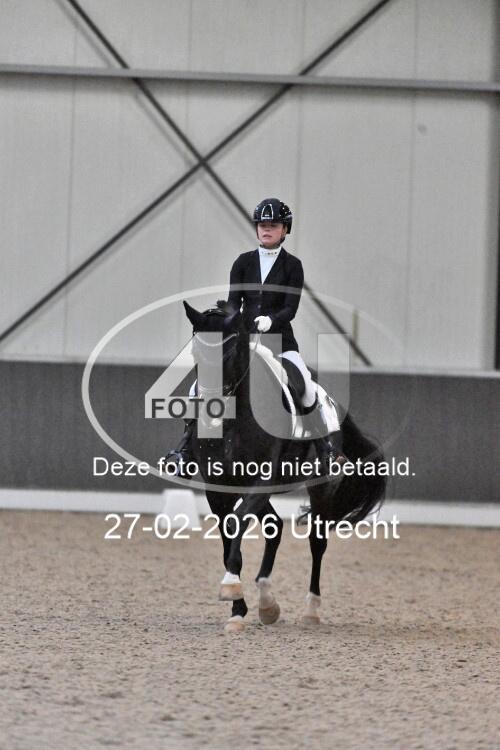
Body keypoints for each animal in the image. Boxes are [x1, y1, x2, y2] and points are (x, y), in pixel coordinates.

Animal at [177, 300, 386, 633]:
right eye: (196, 353)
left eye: (229, 353)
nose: (210, 412)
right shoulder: (218, 489)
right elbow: (227, 538)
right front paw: (238, 608)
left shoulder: (261, 481)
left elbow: (237, 524)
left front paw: (230, 588)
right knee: (274, 527)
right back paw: (267, 604)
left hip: (320, 489)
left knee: (317, 542)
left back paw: (310, 611)